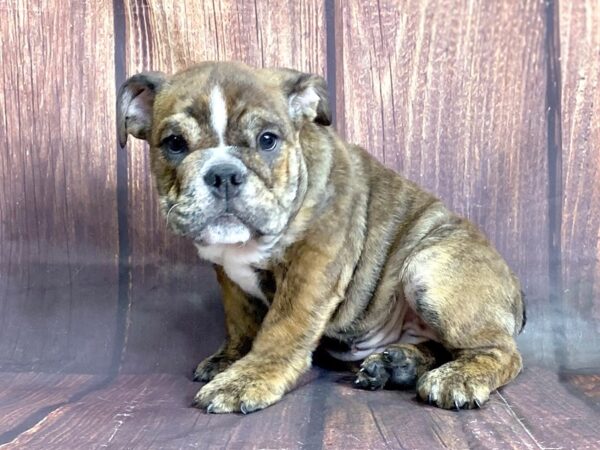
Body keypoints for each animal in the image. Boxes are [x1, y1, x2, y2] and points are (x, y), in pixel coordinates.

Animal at [116, 61, 524, 414]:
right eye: (174, 143)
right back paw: (397, 364)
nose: (223, 174)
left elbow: (281, 329)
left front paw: (247, 378)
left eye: (267, 140)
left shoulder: (312, 265)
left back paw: (457, 377)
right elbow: (240, 321)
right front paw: (230, 358)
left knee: (500, 351)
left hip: (429, 268)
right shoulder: (228, 277)